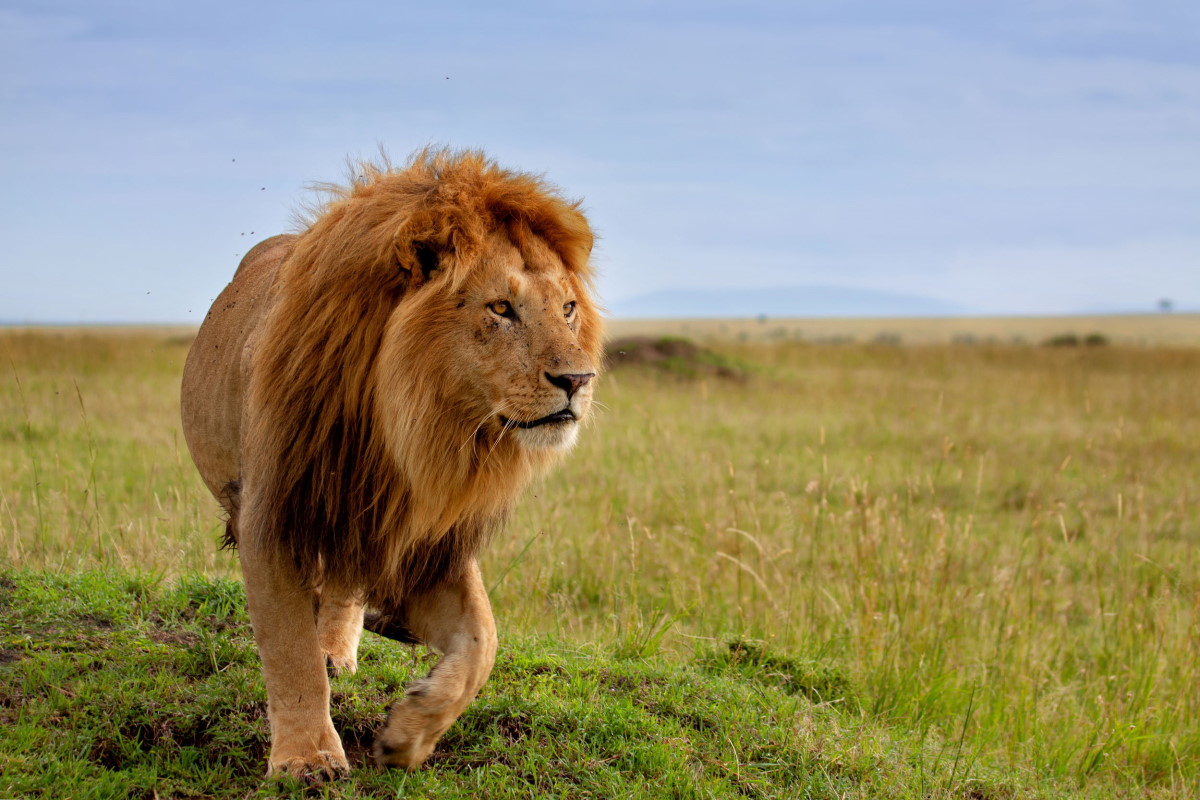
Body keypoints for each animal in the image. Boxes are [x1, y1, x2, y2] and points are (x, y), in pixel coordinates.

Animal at [178, 146, 604, 777]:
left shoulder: (428, 541)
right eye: (501, 308)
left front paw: (409, 734)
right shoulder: (274, 515)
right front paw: (307, 760)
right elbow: (289, 651)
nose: (578, 380)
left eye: (569, 308)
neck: (410, 430)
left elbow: (483, 640)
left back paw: (344, 646)